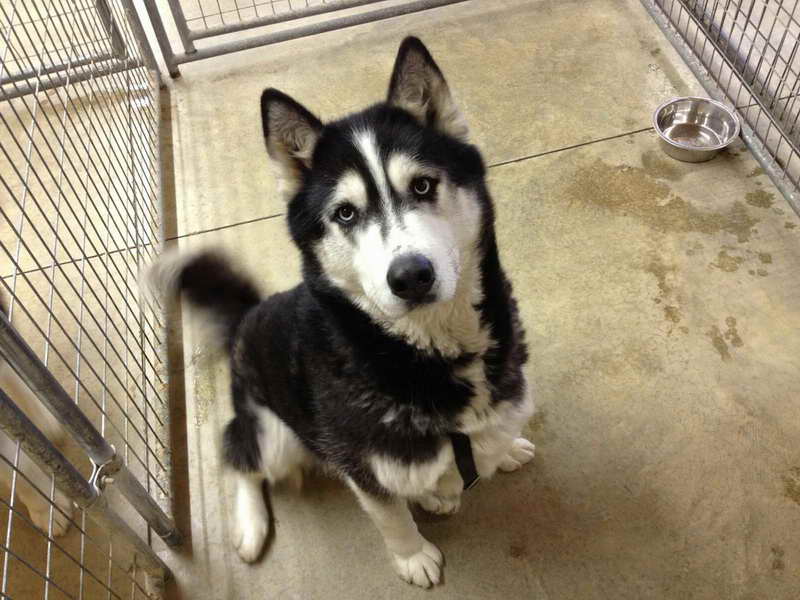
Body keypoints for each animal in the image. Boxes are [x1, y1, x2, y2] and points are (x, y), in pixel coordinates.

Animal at [151, 36, 536, 584]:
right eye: (346, 213)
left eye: (422, 185)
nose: (411, 276)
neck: (424, 354)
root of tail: (248, 315)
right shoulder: (363, 465)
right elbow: (392, 515)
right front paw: (414, 554)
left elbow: (487, 442)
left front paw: (493, 457)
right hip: (274, 434)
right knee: (239, 459)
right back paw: (250, 524)